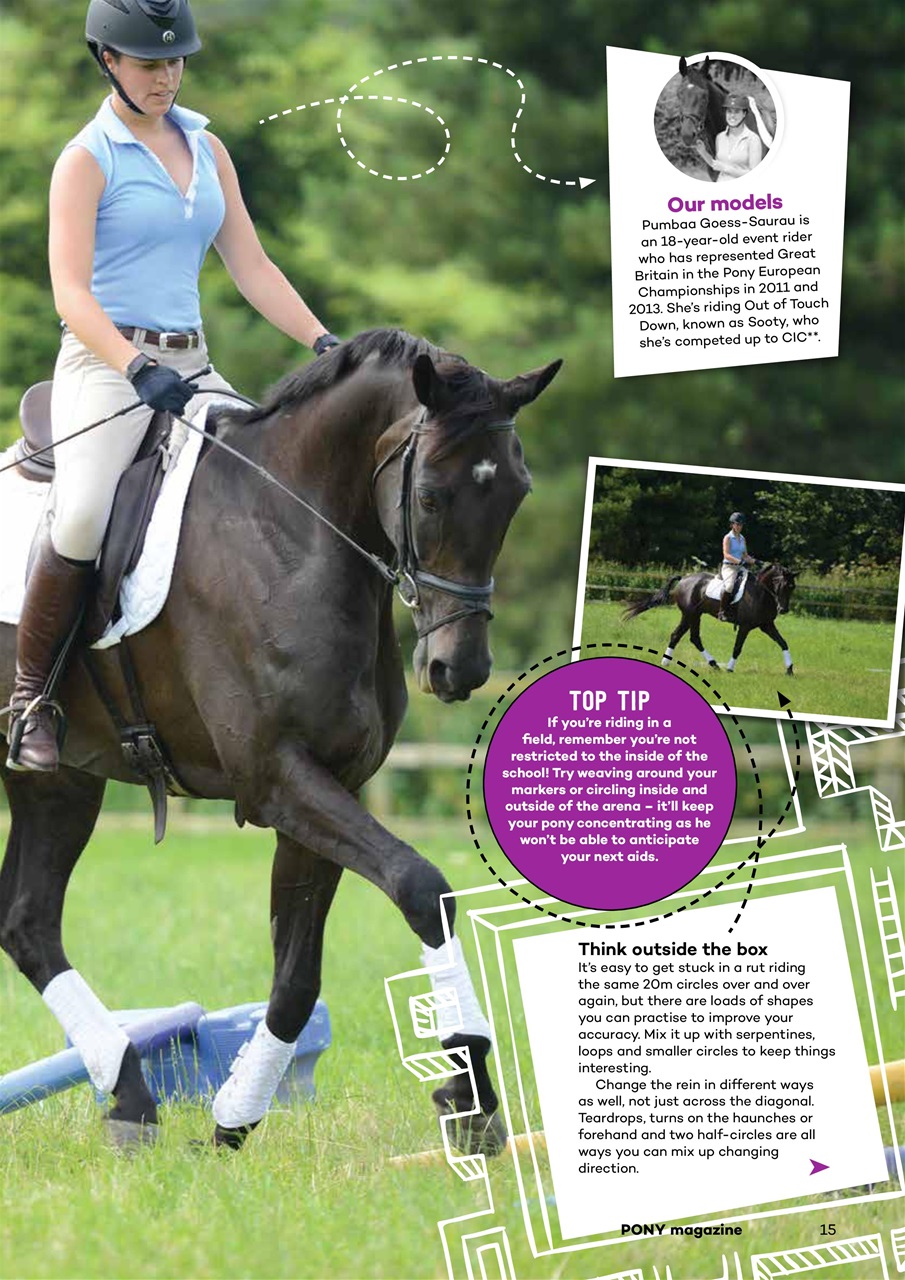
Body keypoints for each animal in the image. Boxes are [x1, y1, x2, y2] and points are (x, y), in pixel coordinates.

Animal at [0, 328, 561, 1150]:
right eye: (430, 495)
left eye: (517, 492)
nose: (458, 670)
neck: (291, 536)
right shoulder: (276, 780)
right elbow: (421, 884)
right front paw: (471, 1089)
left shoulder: (329, 783)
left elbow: (298, 974)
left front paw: (234, 1117)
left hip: (60, 779)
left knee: (28, 921)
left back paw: (131, 1099)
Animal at [623, 564, 797, 676]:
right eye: (781, 584)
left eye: (792, 587)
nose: (783, 609)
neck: (760, 592)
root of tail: (684, 579)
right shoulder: (745, 626)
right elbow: (737, 648)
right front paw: (730, 669)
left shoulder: (766, 625)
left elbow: (783, 643)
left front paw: (789, 669)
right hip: (690, 614)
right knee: (686, 637)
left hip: (693, 615)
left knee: (685, 637)